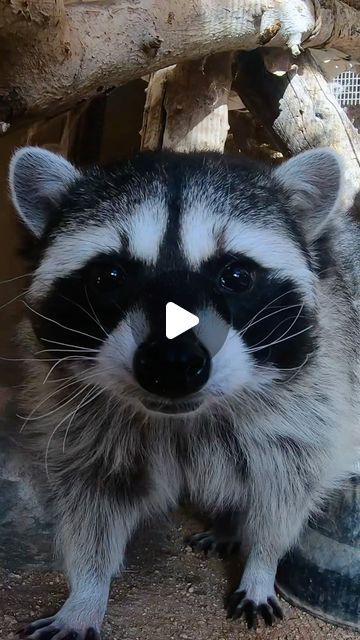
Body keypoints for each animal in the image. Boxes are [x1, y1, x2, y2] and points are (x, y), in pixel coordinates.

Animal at [7, 146, 360, 640]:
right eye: (109, 275)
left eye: (236, 276)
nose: (171, 364)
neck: (184, 418)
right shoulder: (80, 421)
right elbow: (92, 505)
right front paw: (86, 593)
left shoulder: (317, 395)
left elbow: (284, 493)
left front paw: (261, 563)